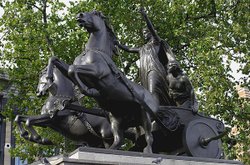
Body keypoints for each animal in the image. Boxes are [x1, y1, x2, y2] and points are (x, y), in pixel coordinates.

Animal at [45, 10, 159, 152]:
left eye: (95, 13)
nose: (80, 15)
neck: (95, 51)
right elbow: (56, 60)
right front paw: (49, 80)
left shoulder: (97, 71)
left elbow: (72, 69)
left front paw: (87, 91)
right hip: (116, 118)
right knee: (118, 139)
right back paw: (111, 149)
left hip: (145, 115)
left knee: (149, 136)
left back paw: (148, 150)